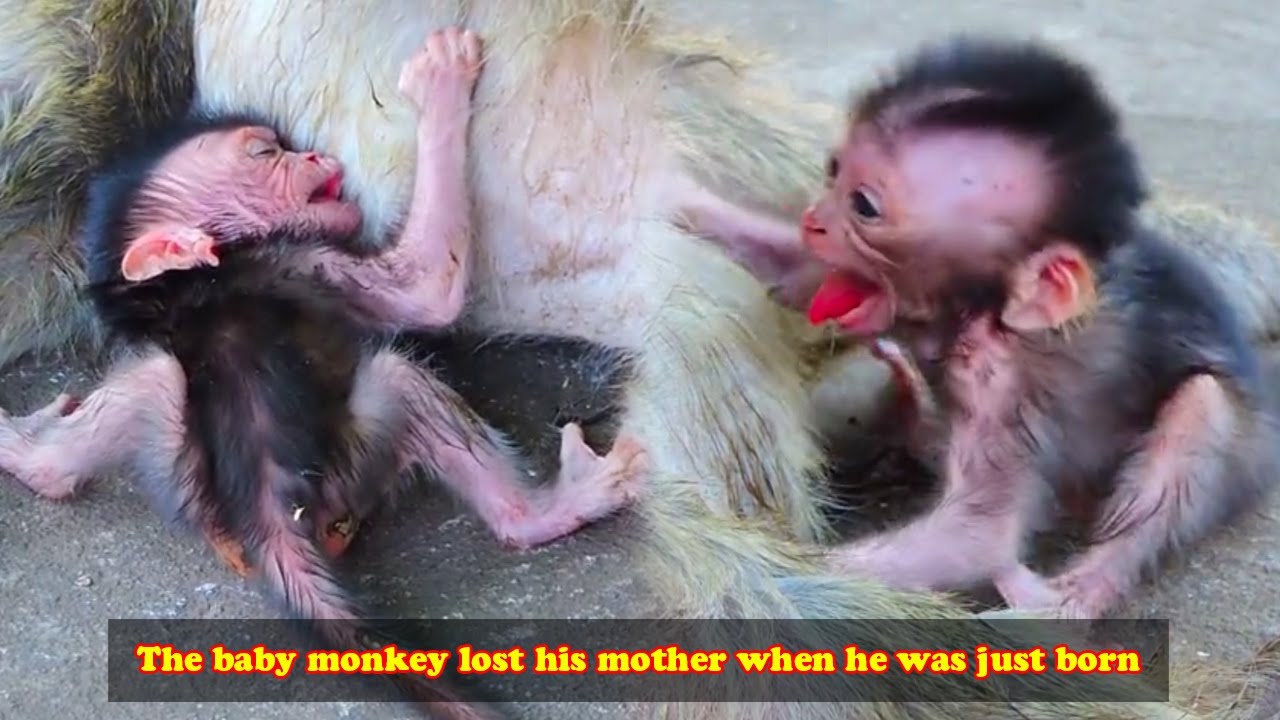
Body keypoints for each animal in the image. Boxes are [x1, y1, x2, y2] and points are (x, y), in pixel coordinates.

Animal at [797, 36, 1280, 622]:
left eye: (863, 206)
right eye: (833, 170)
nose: (812, 222)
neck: (987, 310)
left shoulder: (997, 378)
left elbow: (976, 537)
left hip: (1251, 445)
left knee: (1201, 407)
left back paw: (1082, 591)